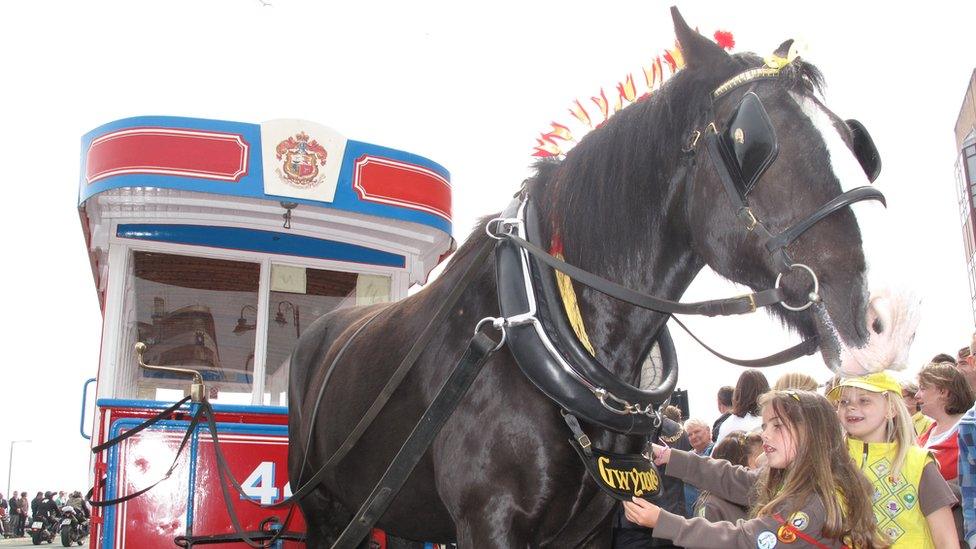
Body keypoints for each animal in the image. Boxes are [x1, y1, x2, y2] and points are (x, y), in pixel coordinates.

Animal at [288, 9, 900, 548]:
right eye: (753, 140)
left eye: (857, 142)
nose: (890, 318)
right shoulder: (489, 522)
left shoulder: (589, 529)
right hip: (320, 504)